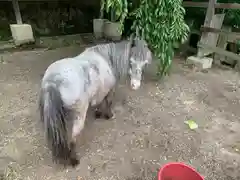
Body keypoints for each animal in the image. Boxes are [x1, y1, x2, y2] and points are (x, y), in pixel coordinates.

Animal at [38, 38, 153, 167]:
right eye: (131, 61)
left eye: (144, 64)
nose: (135, 85)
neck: (107, 59)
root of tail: (52, 81)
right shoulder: (109, 90)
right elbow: (108, 102)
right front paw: (108, 115)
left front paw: (98, 113)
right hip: (79, 115)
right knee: (73, 137)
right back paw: (74, 160)